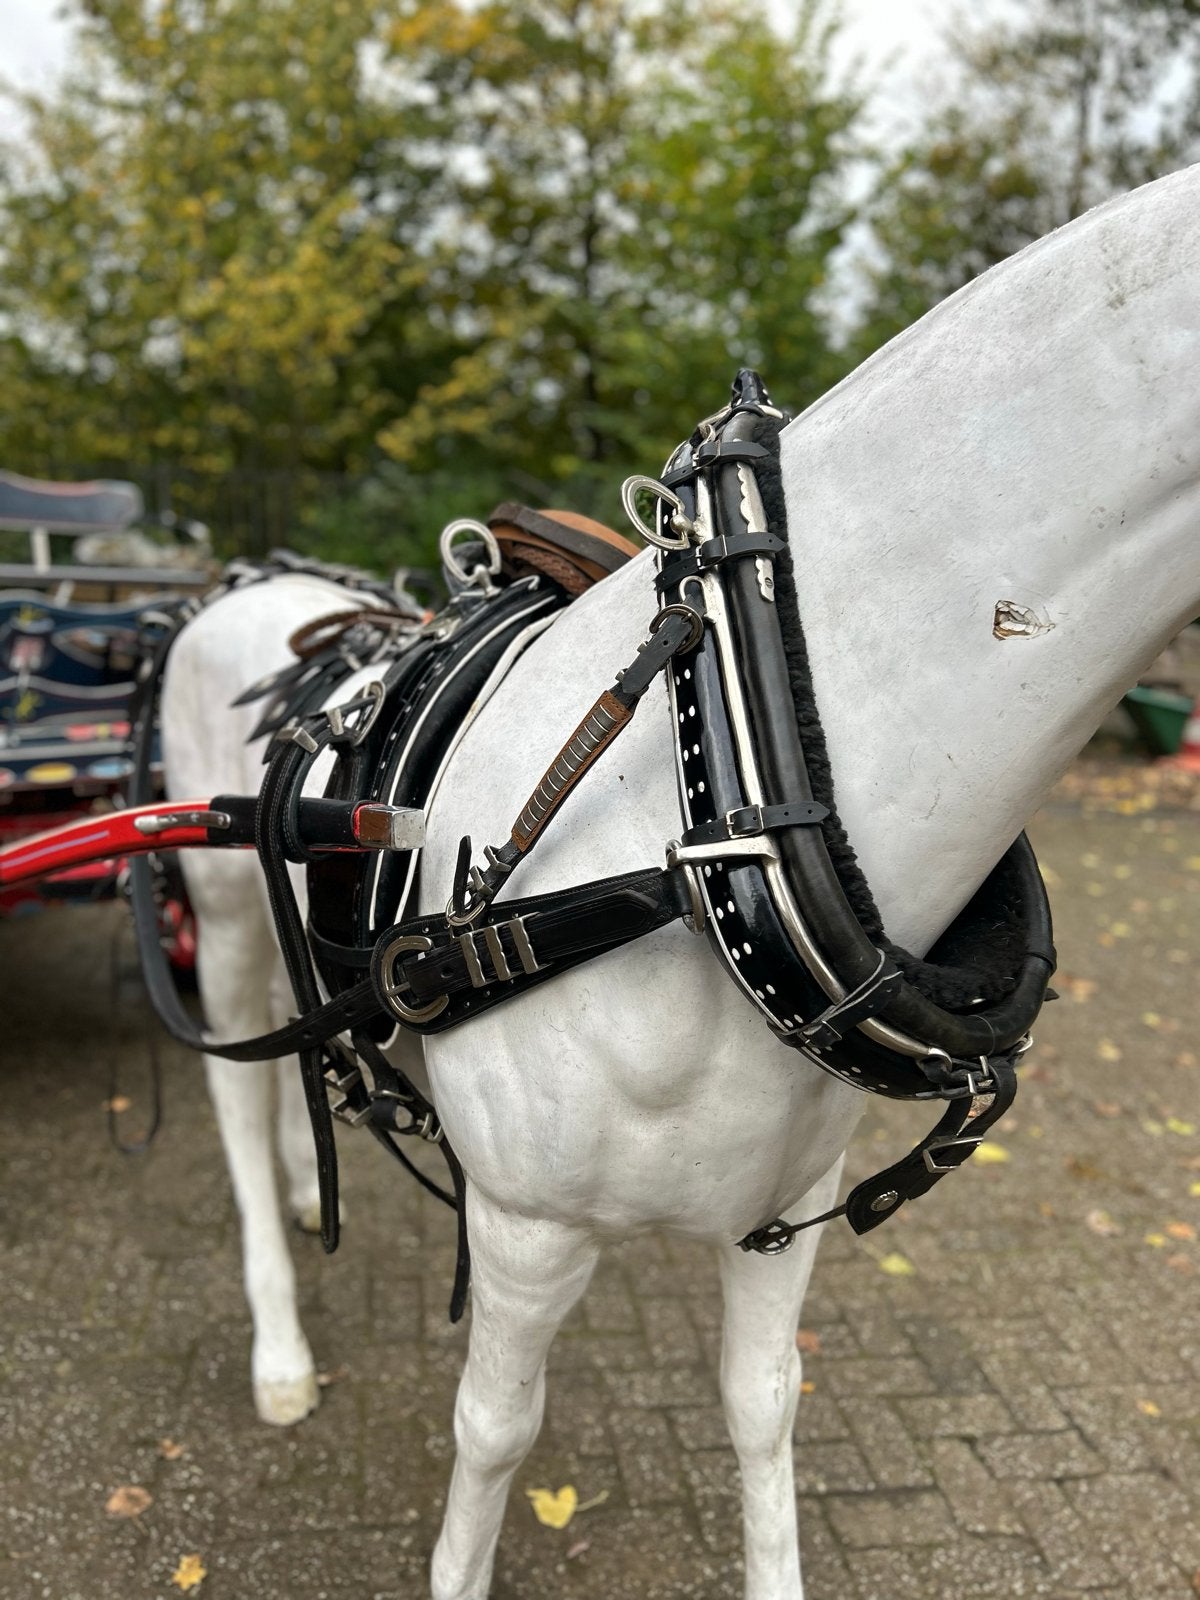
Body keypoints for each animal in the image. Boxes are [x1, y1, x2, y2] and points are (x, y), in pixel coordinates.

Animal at [161, 162, 1200, 1599]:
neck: (708, 830)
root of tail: (245, 589)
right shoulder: (526, 1227)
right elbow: (492, 1440)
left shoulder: (783, 1219)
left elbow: (763, 1411)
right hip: (218, 919)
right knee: (231, 1098)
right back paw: (279, 1339)